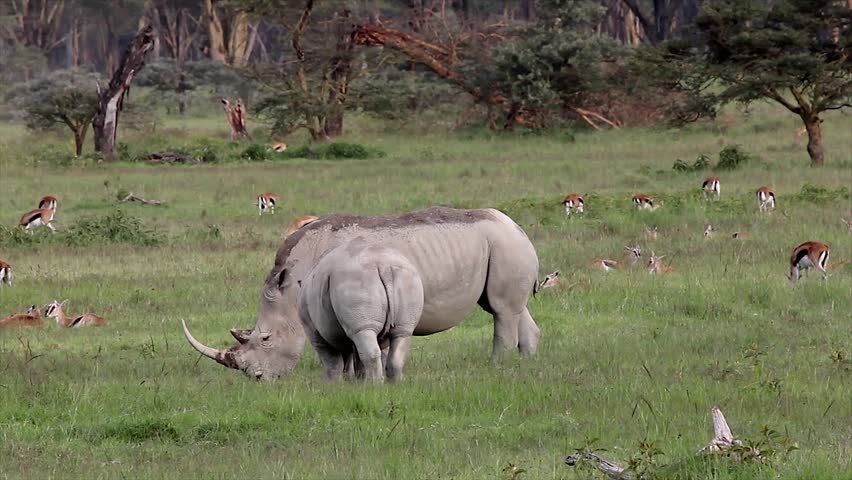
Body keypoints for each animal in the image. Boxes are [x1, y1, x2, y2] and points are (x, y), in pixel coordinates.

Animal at [182, 207, 541, 381]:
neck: (292, 280)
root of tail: (515, 224)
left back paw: (496, 367)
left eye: (266, 339)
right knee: (511, 307)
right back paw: (525, 367)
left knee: (501, 310)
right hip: (502, 245)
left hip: (504, 243)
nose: (257, 379)